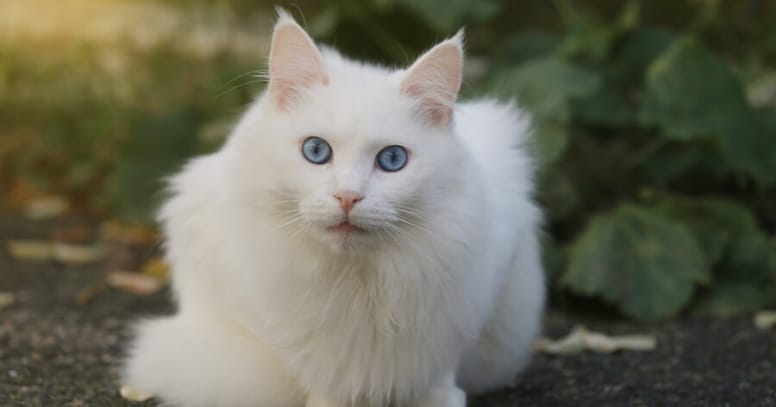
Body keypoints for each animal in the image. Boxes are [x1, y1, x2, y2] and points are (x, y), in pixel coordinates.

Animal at [123, 9, 544, 407]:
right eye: (316, 151)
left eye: (392, 159)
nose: (347, 197)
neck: (360, 285)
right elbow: (315, 369)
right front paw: (329, 400)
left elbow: (439, 369)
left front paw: (436, 399)